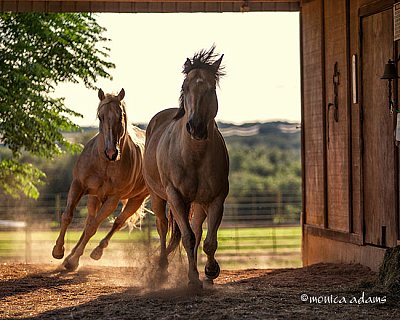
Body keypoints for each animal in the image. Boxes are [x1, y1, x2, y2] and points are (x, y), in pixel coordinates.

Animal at [51, 89, 148, 272]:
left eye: (120, 115)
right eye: (100, 116)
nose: (111, 152)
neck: (105, 164)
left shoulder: (112, 199)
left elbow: (93, 228)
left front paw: (74, 260)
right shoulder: (78, 185)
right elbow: (68, 216)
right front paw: (59, 251)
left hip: (137, 199)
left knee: (118, 222)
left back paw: (95, 252)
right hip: (94, 197)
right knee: (90, 219)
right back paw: (68, 257)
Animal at [145, 45, 230, 288]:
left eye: (211, 88)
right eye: (185, 86)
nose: (196, 127)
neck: (194, 156)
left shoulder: (217, 198)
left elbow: (208, 240)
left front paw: (210, 271)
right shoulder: (175, 196)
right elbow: (188, 237)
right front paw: (192, 278)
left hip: (198, 202)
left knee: (196, 229)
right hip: (158, 196)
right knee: (163, 226)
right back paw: (162, 267)